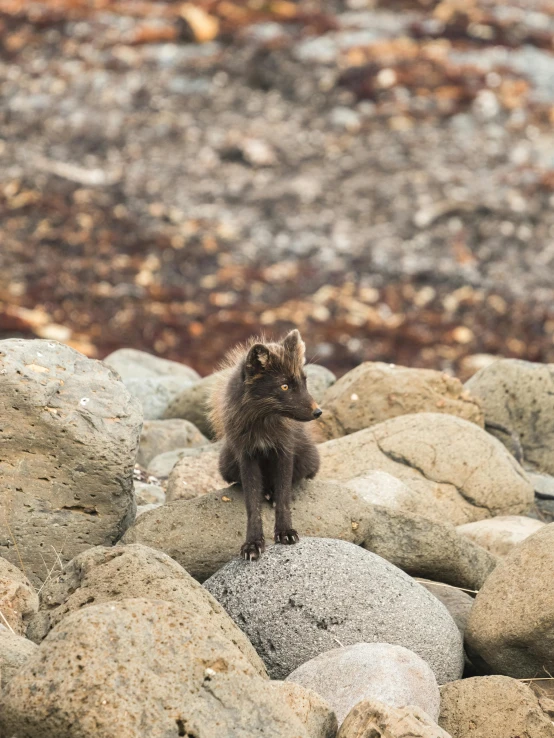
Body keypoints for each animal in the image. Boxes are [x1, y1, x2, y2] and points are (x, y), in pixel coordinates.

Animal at [209, 330, 322, 560]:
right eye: (284, 386)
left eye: (304, 382)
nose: (318, 412)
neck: (263, 424)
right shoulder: (246, 456)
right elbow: (252, 504)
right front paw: (252, 543)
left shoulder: (284, 451)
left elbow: (284, 497)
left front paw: (285, 532)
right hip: (226, 465)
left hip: (308, 459)